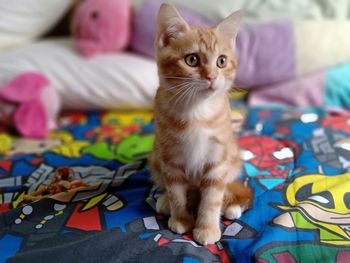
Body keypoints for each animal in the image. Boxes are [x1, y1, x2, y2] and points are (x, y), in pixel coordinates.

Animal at [149, 3, 253, 245]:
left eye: (221, 61)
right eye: (192, 60)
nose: (212, 76)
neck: (197, 112)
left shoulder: (218, 159)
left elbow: (211, 199)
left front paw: (206, 228)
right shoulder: (170, 157)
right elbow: (177, 192)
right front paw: (181, 219)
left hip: (233, 158)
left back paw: (231, 206)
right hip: (156, 159)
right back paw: (165, 200)